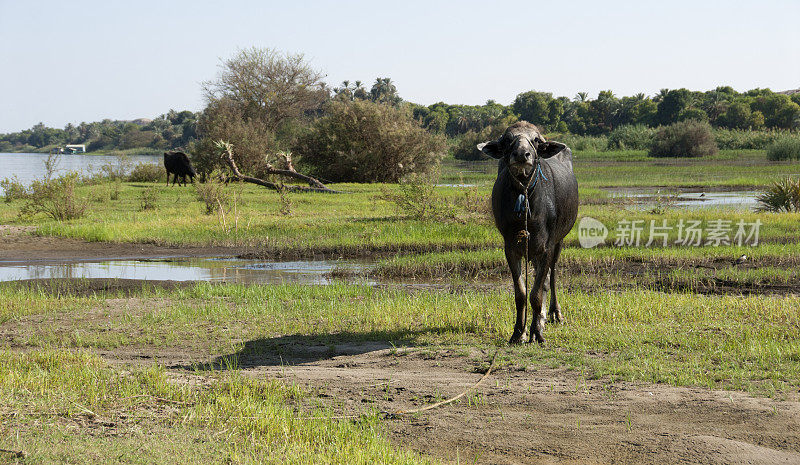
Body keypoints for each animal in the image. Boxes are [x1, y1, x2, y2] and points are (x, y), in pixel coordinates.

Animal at [478, 121, 580, 342]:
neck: (526, 198)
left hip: (558, 243)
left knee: (552, 276)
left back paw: (553, 314)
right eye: (508, 140)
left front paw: (536, 332)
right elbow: (522, 293)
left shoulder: (547, 247)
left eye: (535, 140)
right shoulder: (510, 248)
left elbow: (537, 293)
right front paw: (519, 332)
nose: (522, 154)